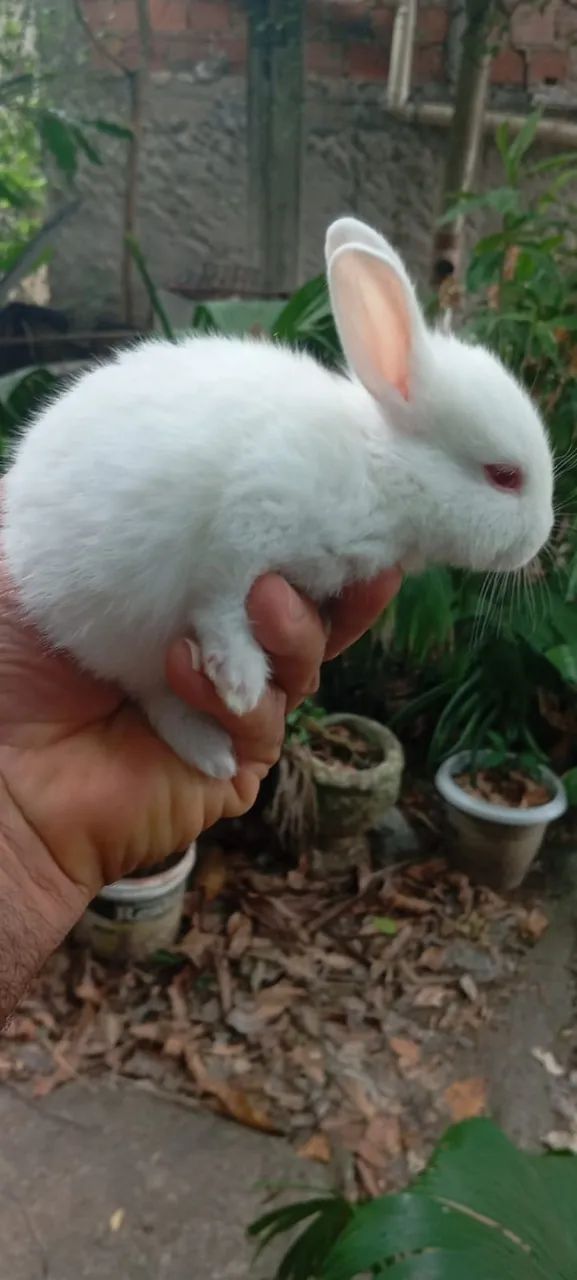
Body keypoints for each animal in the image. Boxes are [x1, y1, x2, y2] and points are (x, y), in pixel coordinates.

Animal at [2, 217, 554, 780]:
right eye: (504, 476)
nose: (540, 539)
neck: (379, 470)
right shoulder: (247, 519)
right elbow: (219, 603)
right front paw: (241, 681)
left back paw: (212, 755)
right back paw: (214, 749)